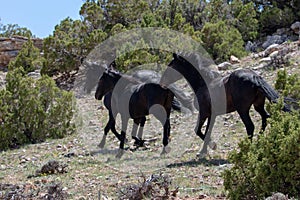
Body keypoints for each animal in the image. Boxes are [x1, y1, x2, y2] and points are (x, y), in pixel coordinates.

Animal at [161, 52, 292, 157]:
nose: (162, 82)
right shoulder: (212, 115)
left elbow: (198, 130)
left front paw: (212, 146)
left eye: (171, 66)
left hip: (242, 109)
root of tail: (255, 77)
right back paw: (259, 141)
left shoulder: (204, 113)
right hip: (258, 105)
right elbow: (207, 131)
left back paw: (247, 149)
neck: (202, 84)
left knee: (250, 126)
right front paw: (204, 151)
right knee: (265, 117)